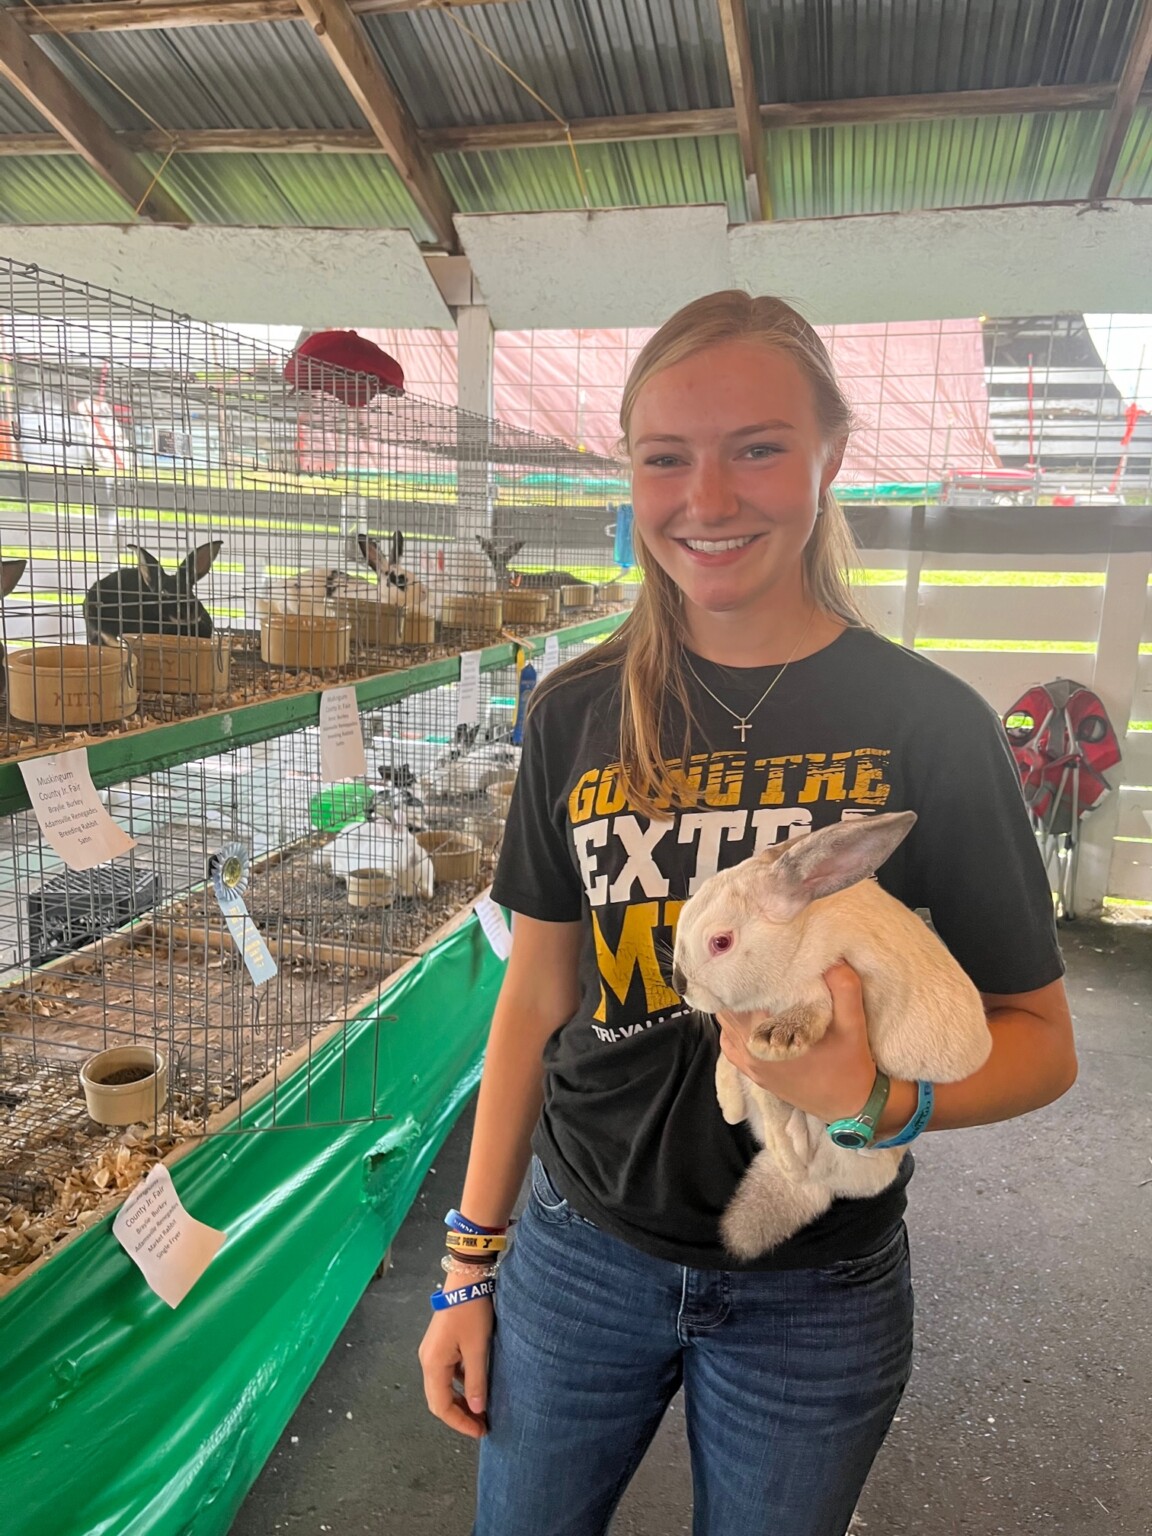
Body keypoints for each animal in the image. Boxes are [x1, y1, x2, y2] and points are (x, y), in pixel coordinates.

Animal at [672, 811, 995, 1253]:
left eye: (721, 942)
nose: (680, 984)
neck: (795, 937)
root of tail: (822, 1187)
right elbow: (730, 1061)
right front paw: (730, 1098)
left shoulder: (814, 989)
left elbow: (788, 1045)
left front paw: (777, 1040)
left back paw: (790, 1161)